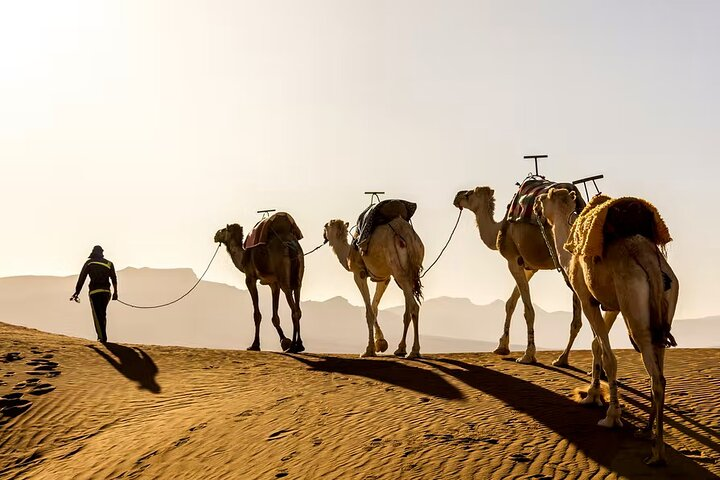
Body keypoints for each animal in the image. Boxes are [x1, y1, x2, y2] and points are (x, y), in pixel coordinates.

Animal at [214, 217, 305, 353]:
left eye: (224, 229)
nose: (215, 235)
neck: (243, 257)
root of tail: (291, 245)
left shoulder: (250, 278)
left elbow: (257, 314)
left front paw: (255, 345)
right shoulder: (274, 284)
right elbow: (275, 317)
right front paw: (284, 341)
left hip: (284, 279)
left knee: (293, 310)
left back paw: (293, 346)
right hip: (298, 278)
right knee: (298, 309)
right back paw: (299, 344)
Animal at [323, 217, 425, 358]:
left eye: (326, 226)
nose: (324, 235)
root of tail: (409, 237)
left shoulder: (358, 274)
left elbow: (369, 312)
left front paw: (369, 349)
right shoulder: (384, 278)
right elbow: (374, 307)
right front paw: (381, 343)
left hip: (398, 271)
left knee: (414, 307)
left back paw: (414, 351)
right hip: (408, 273)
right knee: (408, 310)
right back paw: (401, 349)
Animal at [453, 187, 582, 366]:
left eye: (469, 193)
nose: (457, 196)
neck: (499, 229)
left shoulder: (512, 260)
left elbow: (528, 310)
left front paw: (528, 355)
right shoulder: (529, 267)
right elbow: (510, 303)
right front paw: (502, 346)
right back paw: (563, 359)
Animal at [535, 188, 678, 466]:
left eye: (546, 196)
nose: (535, 202)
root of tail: (650, 261)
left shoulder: (586, 297)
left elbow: (609, 356)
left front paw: (611, 415)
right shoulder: (612, 304)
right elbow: (595, 345)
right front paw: (592, 394)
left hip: (635, 310)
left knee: (656, 376)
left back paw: (657, 452)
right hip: (664, 309)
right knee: (660, 370)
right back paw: (646, 430)